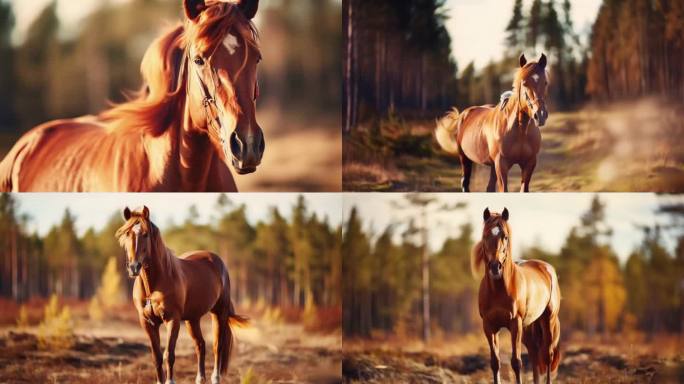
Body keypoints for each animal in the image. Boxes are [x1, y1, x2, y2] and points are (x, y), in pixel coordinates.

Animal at [116, 207, 247, 384]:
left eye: (145, 234)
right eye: (127, 233)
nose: (133, 267)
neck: (154, 285)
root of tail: (217, 261)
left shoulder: (173, 319)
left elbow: (169, 354)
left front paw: (170, 380)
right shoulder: (147, 323)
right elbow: (156, 357)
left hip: (219, 313)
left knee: (217, 346)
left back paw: (215, 377)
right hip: (193, 319)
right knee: (200, 345)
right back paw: (200, 379)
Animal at [438, 54, 552, 192]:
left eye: (545, 83)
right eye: (524, 83)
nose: (540, 115)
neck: (520, 131)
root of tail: (464, 114)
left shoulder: (529, 163)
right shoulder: (501, 165)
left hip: (492, 165)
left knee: (489, 187)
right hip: (465, 159)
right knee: (465, 183)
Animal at [470, 208, 560, 382]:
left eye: (505, 236)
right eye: (485, 235)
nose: (495, 267)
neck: (499, 290)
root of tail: (547, 268)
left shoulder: (515, 324)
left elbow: (516, 362)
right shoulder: (489, 326)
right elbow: (495, 362)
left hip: (548, 320)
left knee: (547, 355)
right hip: (529, 328)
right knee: (534, 355)